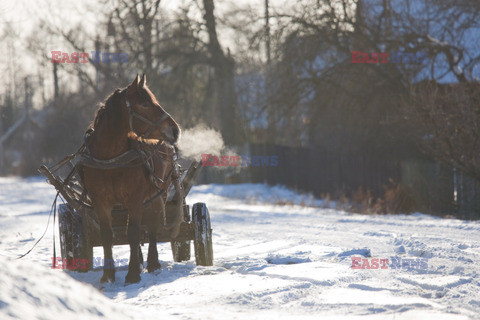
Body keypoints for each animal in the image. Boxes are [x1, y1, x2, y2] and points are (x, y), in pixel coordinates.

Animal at [81, 74, 181, 282]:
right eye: (145, 103)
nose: (175, 130)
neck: (110, 159)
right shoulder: (100, 201)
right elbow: (107, 235)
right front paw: (108, 275)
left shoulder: (135, 199)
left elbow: (133, 233)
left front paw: (133, 273)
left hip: (160, 193)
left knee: (152, 225)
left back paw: (152, 262)